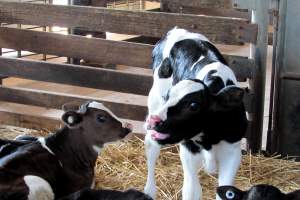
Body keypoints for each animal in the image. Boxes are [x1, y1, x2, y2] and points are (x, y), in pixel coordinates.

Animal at [144, 28, 247, 200]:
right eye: (167, 96)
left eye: (193, 105)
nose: (154, 121)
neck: (209, 139)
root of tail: (175, 30)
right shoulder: (188, 150)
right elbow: (191, 191)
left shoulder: (232, 153)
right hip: (154, 102)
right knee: (151, 148)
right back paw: (149, 191)